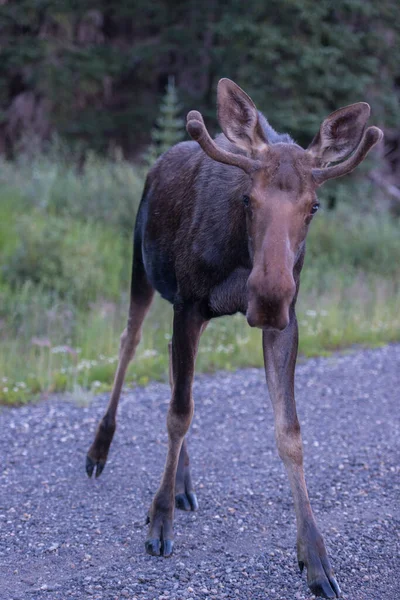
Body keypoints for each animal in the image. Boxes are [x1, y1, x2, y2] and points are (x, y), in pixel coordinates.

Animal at [86, 79, 382, 600]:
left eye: (314, 206)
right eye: (248, 199)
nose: (267, 295)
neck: (238, 256)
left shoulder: (282, 322)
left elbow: (289, 432)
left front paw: (316, 560)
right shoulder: (188, 303)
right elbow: (179, 414)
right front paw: (159, 522)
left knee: (170, 363)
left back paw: (183, 481)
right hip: (142, 268)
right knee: (130, 343)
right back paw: (100, 450)